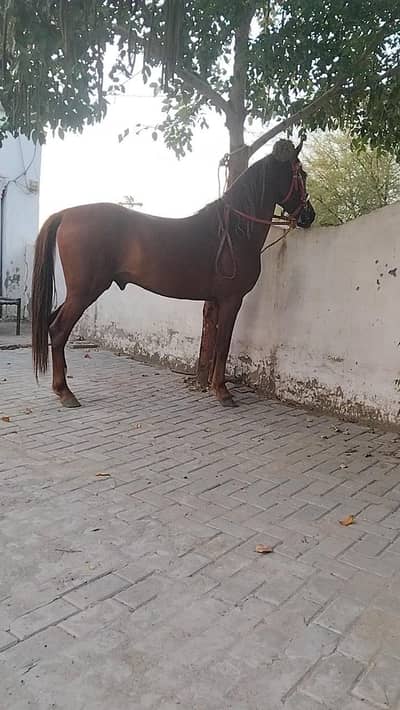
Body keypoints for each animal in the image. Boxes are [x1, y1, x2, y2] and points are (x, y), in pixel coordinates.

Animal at [31, 139, 315, 409]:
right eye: (302, 174)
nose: (309, 215)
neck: (233, 233)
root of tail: (66, 214)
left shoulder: (214, 301)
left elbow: (214, 345)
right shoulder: (231, 300)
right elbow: (223, 345)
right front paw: (222, 392)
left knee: (53, 323)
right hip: (85, 292)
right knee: (58, 330)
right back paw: (65, 392)